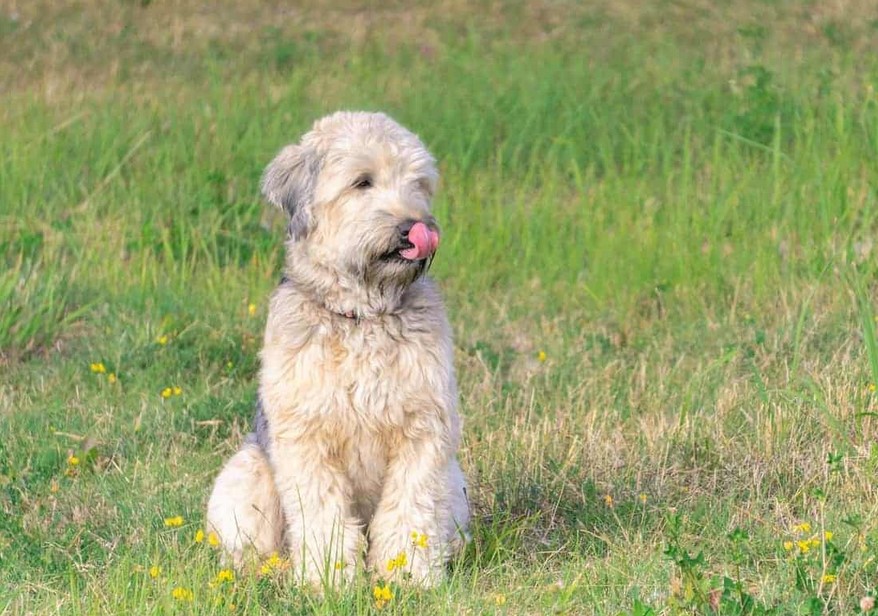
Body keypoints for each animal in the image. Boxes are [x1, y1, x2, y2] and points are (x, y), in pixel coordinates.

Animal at [206, 109, 470, 588]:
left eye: (418, 183)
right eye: (362, 182)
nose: (415, 228)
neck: (362, 316)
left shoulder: (424, 431)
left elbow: (411, 508)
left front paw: (407, 576)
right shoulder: (306, 437)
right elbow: (322, 514)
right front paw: (329, 580)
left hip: (456, 484)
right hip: (245, 473)